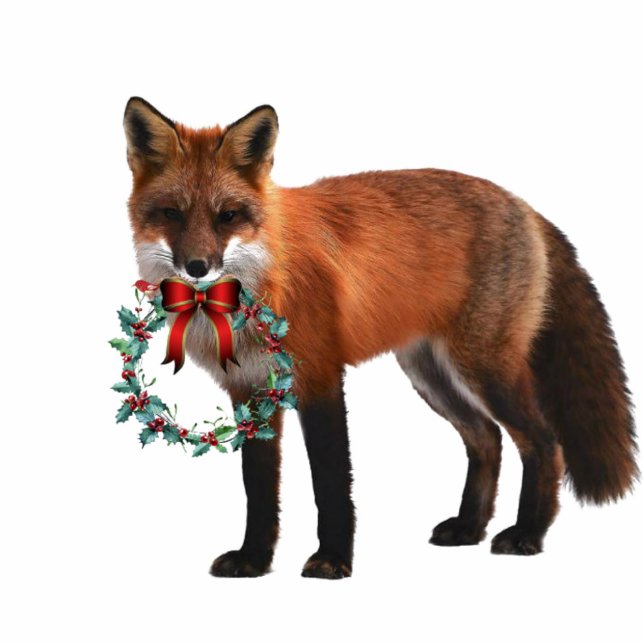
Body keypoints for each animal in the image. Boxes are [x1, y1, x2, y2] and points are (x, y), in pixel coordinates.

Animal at [123, 97, 638, 579]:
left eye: (227, 216)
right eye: (171, 213)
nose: (197, 268)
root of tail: (524, 205)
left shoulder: (320, 377)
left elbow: (331, 481)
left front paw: (332, 560)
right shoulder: (250, 392)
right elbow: (259, 488)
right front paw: (254, 560)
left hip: (485, 368)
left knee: (544, 443)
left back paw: (528, 533)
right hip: (431, 374)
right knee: (486, 439)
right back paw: (469, 527)